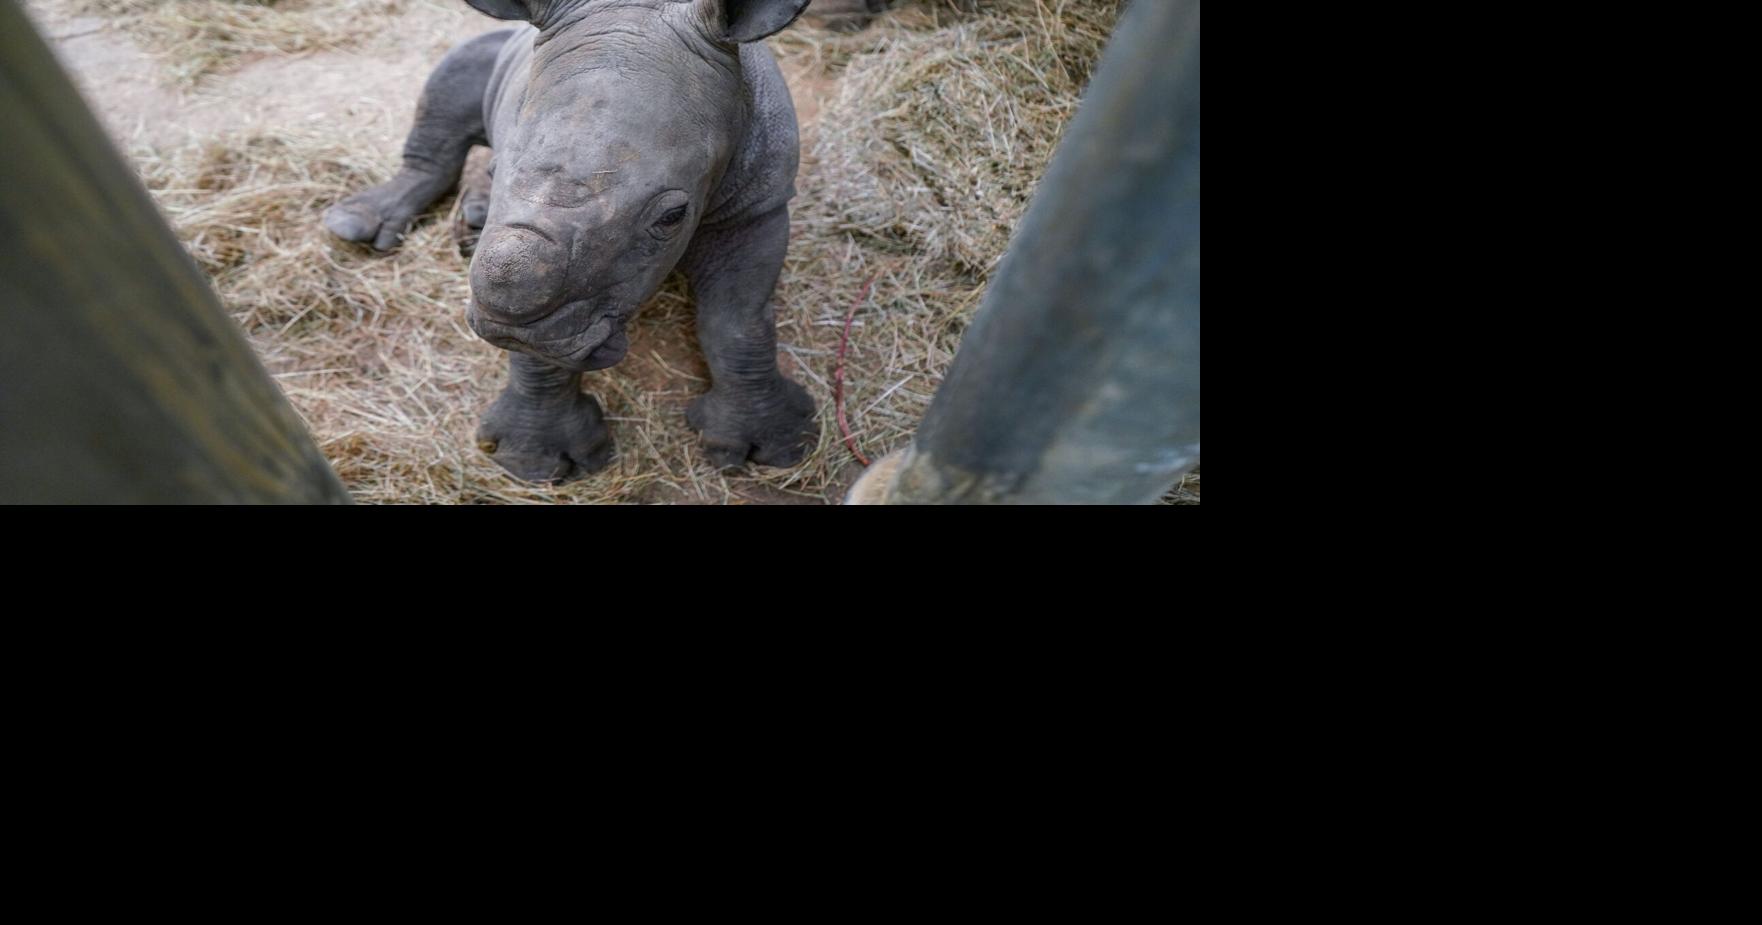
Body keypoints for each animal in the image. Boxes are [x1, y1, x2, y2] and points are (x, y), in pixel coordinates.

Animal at [323, 0, 820, 482]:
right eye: (497, 170)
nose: (507, 326)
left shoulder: (758, 205)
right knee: (456, 73)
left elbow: (737, 320)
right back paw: (356, 226)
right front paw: (533, 462)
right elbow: (538, 349)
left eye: (672, 217)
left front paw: (777, 445)